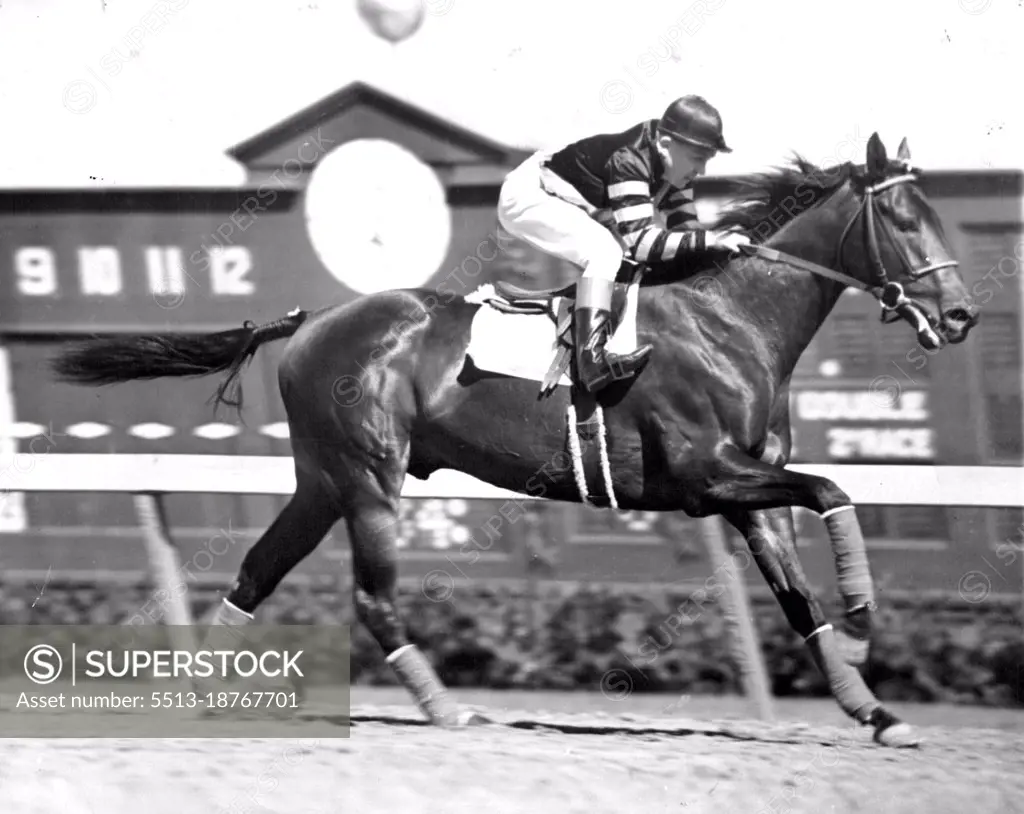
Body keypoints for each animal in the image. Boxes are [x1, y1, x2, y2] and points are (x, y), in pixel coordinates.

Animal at [54, 135, 974, 749]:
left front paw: (876, 709)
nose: (961, 314)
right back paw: (445, 708)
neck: (727, 318)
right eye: (901, 217)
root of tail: (314, 319)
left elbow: (799, 596)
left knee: (257, 571)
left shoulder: (749, 491)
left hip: (321, 480)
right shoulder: (706, 479)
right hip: (369, 478)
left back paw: (208, 692)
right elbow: (834, 491)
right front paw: (864, 621)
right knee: (372, 598)